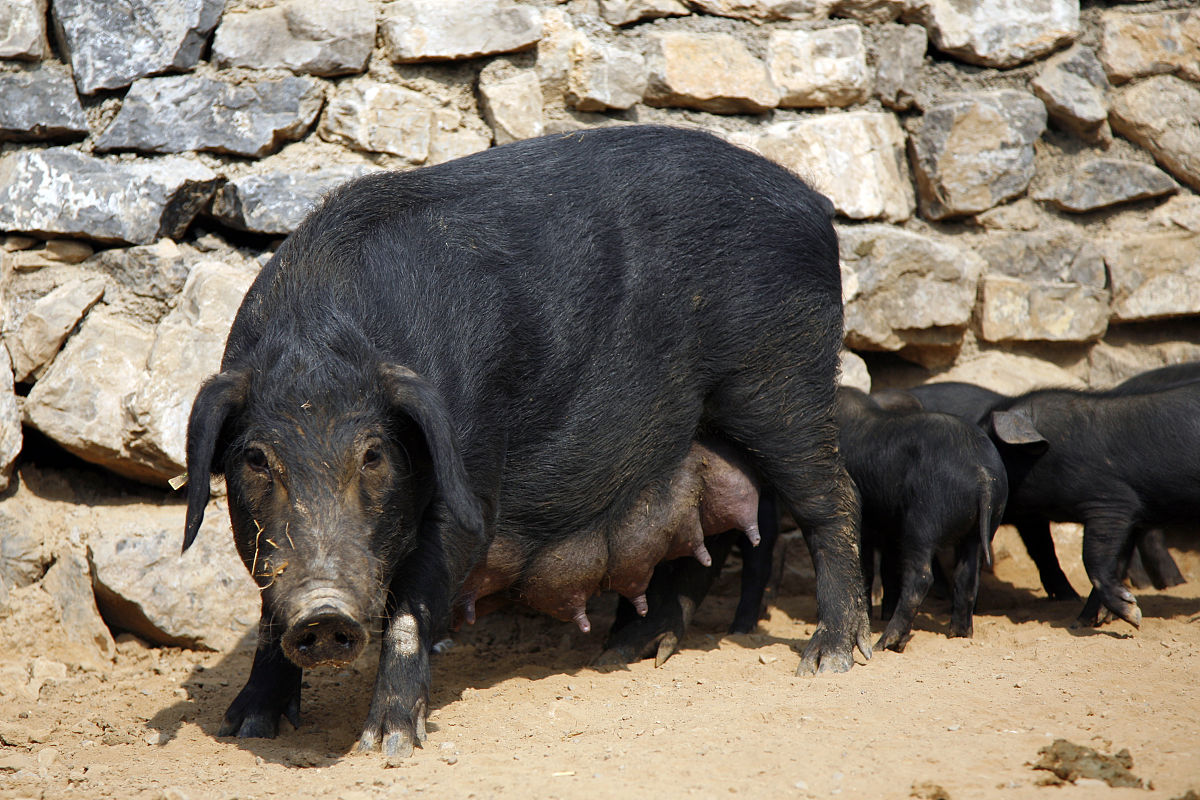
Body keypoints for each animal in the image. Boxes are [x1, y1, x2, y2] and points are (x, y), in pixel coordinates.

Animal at [182, 126, 868, 762]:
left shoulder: (472, 478)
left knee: (831, 499)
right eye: (255, 459)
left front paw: (387, 745)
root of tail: (813, 202)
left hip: (784, 383)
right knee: (703, 534)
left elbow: (412, 608)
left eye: (374, 455)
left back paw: (830, 658)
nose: (324, 612)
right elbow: (268, 609)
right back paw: (628, 654)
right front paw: (246, 725)